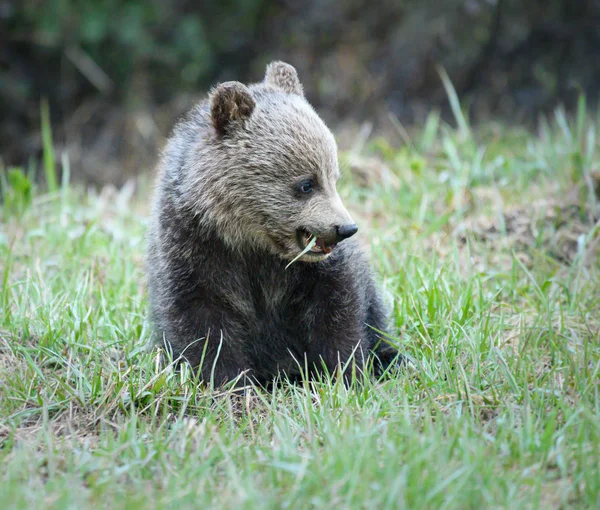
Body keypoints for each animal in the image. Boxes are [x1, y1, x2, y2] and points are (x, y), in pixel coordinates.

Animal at [146, 59, 398, 386]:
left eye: (334, 177)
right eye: (306, 184)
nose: (345, 228)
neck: (248, 240)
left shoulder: (311, 273)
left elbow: (337, 308)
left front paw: (344, 373)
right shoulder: (193, 246)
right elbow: (201, 322)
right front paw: (230, 383)